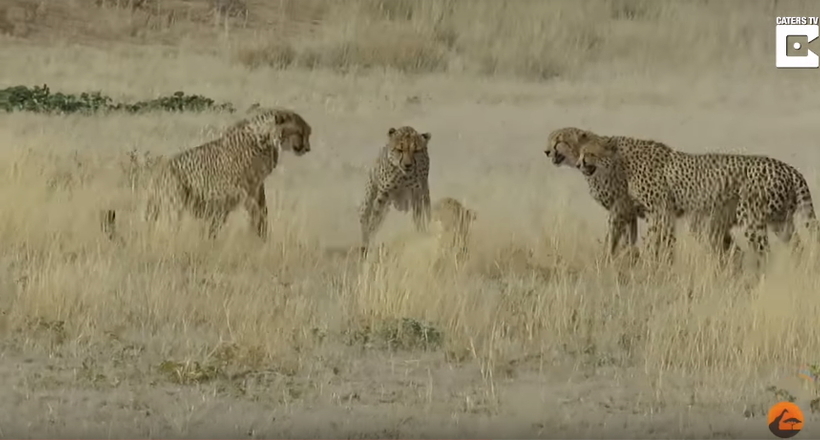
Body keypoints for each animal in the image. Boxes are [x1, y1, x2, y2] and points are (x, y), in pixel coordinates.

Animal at [100, 108, 310, 242]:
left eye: (308, 132)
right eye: (300, 131)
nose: (307, 148)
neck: (267, 138)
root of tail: (157, 171)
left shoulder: (256, 186)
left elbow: (262, 210)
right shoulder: (246, 188)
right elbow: (256, 213)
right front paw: (258, 236)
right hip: (175, 204)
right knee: (169, 226)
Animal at [360, 125, 436, 253]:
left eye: (416, 151)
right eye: (400, 150)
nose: (407, 165)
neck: (403, 176)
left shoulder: (417, 194)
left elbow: (418, 217)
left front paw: (420, 233)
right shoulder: (383, 194)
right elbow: (374, 220)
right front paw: (370, 240)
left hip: (425, 193)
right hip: (369, 196)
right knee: (365, 216)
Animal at [572, 130, 816, 262]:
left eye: (589, 153)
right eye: (581, 152)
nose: (578, 163)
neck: (621, 161)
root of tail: (789, 168)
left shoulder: (660, 211)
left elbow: (653, 240)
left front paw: (651, 263)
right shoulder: (660, 213)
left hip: (753, 220)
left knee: (765, 252)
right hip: (780, 221)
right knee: (797, 247)